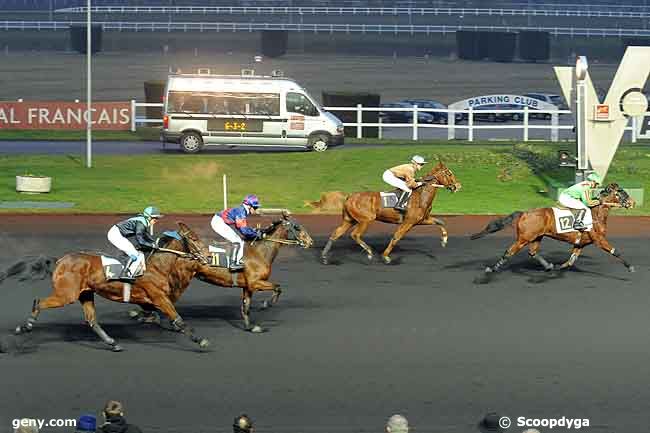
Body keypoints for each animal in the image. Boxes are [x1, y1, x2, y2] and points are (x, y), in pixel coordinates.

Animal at [0, 223, 211, 352]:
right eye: (193, 238)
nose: (209, 257)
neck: (157, 264)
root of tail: (60, 260)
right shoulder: (159, 297)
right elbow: (179, 320)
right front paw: (200, 340)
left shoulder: (156, 300)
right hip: (66, 294)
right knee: (38, 302)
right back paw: (25, 327)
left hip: (85, 294)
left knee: (91, 320)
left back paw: (112, 343)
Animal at [130, 214, 312, 332]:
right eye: (297, 227)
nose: (310, 242)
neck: (260, 251)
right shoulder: (255, 283)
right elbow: (278, 287)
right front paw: (266, 304)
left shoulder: (247, 286)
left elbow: (246, 307)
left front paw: (250, 326)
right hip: (182, 279)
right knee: (166, 299)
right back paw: (148, 315)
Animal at [320, 161, 460, 264]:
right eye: (449, 173)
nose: (458, 186)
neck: (421, 195)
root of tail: (349, 197)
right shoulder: (408, 222)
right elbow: (396, 237)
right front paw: (385, 256)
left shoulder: (421, 220)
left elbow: (440, 222)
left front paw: (444, 240)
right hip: (366, 220)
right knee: (355, 235)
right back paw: (369, 252)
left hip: (350, 220)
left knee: (336, 234)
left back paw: (325, 257)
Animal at [468, 182, 636, 274]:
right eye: (621, 192)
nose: (632, 203)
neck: (596, 215)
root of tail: (524, 213)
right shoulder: (599, 240)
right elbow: (615, 251)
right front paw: (630, 267)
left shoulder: (580, 243)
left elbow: (571, 260)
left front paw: (559, 267)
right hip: (524, 238)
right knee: (509, 252)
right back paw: (492, 269)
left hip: (537, 237)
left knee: (532, 252)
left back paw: (548, 266)